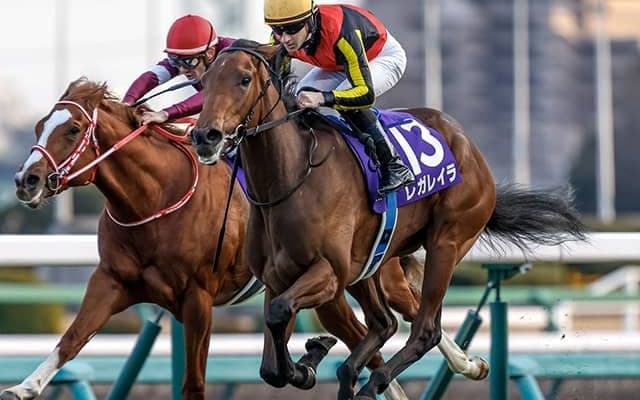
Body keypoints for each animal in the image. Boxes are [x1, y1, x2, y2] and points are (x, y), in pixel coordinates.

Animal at [6, 77, 488, 400]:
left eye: (71, 130)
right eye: (38, 126)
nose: (25, 181)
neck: (153, 199)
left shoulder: (197, 298)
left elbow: (194, 381)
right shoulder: (112, 281)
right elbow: (71, 338)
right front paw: (25, 386)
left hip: (362, 277)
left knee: (400, 319)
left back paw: (459, 363)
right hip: (347, 283)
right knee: (378, 328)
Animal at [189, 40, 586, 400]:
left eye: (243, 79)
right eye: (204, 82)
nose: (205, 135)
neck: (291, 178)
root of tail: (467, 144)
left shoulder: (329, 272)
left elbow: (279, 313)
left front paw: (310, 361)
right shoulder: (277, 277)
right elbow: (271, 362)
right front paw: (309, 359)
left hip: (446, 241)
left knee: (425, 328)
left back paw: (374, 383)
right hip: (373, 263)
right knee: (385, 322)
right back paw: (354, 373)